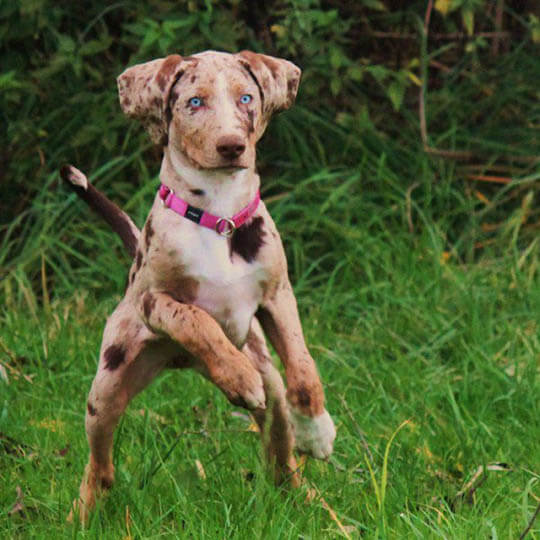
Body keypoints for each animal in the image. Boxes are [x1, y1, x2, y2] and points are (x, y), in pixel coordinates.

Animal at [61, 50, 336, 524]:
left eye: (246, 98)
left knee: (281, 456)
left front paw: (316, 430)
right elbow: (195, 320)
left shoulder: (278, 296)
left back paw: (309, 500)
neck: (218, 213)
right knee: (99, 463)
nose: (231, 146)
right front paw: (236, 375)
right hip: (108, 384)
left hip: (270, 386)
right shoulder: (154, 301)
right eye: (194, 102)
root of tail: (181, 364)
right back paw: (83, 514)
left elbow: (303, 368)